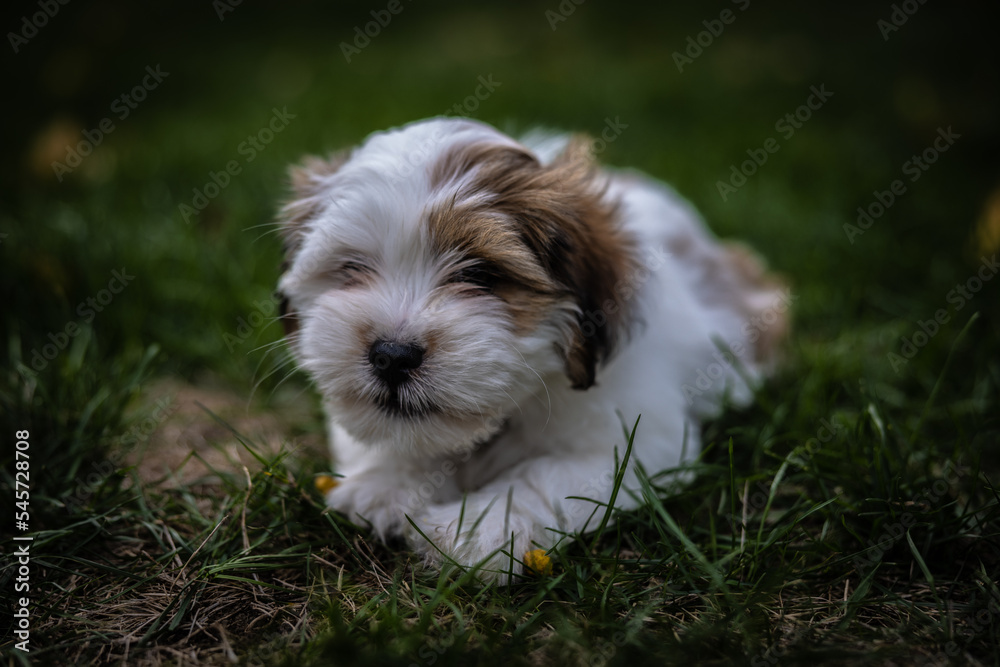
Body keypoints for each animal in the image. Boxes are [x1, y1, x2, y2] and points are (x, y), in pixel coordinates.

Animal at [276, 117, 788, 580]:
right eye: (352, 268)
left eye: (481, 274)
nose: (392, 355)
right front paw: (384, 483)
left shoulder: (637, 442)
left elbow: (544, 478)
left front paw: (474, 531)